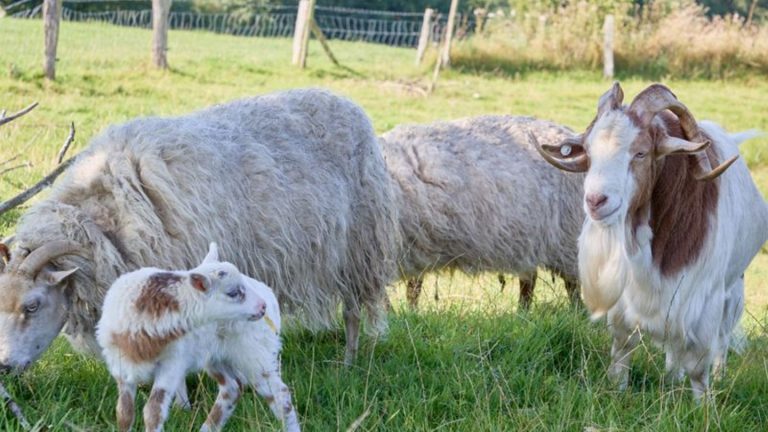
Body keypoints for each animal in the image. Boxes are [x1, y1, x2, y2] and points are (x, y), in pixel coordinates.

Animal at [0, 88, 400, 372]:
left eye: (33, 305)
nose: (4, 367)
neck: (107, 223)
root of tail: (349, 103)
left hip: (359, 248)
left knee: (352, 312)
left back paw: (348, 363)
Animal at [380, 116, 584, 308]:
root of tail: (567, 132)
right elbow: (411, 290)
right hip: (529, 240)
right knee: (529, 280)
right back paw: (522, 313)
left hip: (566, 236)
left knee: (572, 283)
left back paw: (576, 312)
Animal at [532, 82, 768, 398]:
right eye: (589, 153)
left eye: (641, 153)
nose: (596, 201)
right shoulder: (629, 296)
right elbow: (623, 347)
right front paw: (618, 390)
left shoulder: (702, 297)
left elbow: (698, 365)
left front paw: (704, 404)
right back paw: (671, 379)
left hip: (733, 288)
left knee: (722, 338)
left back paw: (717, 377)